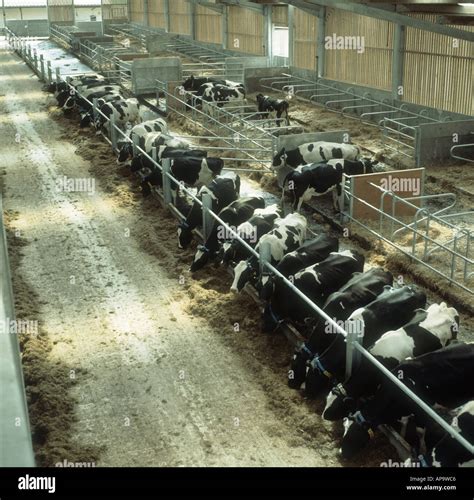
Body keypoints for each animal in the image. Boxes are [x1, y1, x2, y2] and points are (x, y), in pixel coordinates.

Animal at [340, 342, 474, 458]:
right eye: (344, 427)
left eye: (355, 433)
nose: (341, 452)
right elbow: (404, 424)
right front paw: (402, 437)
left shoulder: (422, 412)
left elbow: (420, 432)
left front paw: (422, 449)